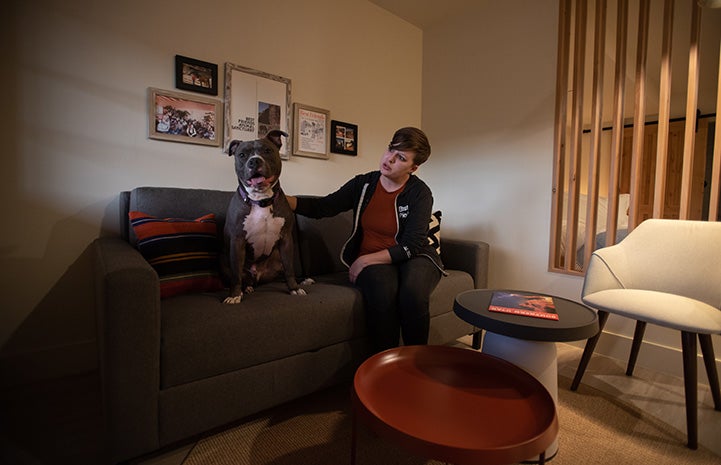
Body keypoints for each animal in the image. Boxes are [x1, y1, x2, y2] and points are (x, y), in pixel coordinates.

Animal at [222, 129, 306, 302]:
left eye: (267, 151)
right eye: (242, 155)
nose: (254, 161)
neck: (261, 200)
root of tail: (257, 275)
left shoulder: (286, 239)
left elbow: (290, 269)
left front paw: (294, 289)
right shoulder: (237, 240)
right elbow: (236, 274)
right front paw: (234, 295)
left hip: (277, 261)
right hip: (224, 264)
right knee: (242, 278)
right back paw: (244, 289)